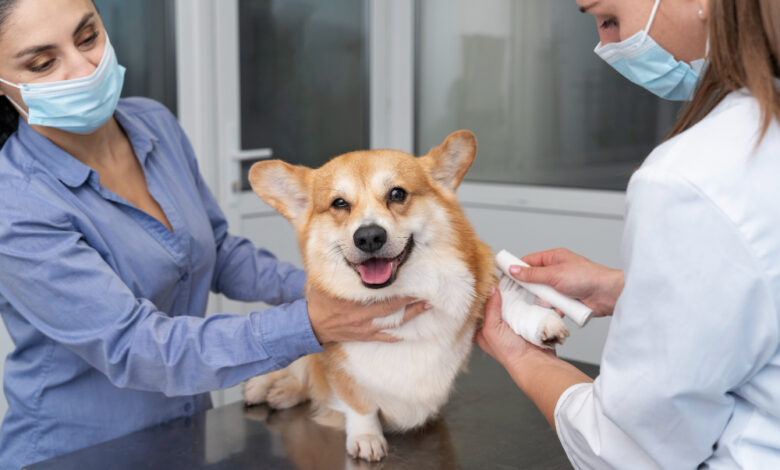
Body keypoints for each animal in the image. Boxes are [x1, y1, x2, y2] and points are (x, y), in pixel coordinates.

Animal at [244, 130, 568, 460]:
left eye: (397, 194)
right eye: (339, 203)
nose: (369, 237)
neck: (402, 293)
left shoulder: (479, 287)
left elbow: (507, 300)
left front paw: (540, 320)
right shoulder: (338, 365)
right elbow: (358, 404)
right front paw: (366, 436)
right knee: (295, 368)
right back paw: (267, 388)